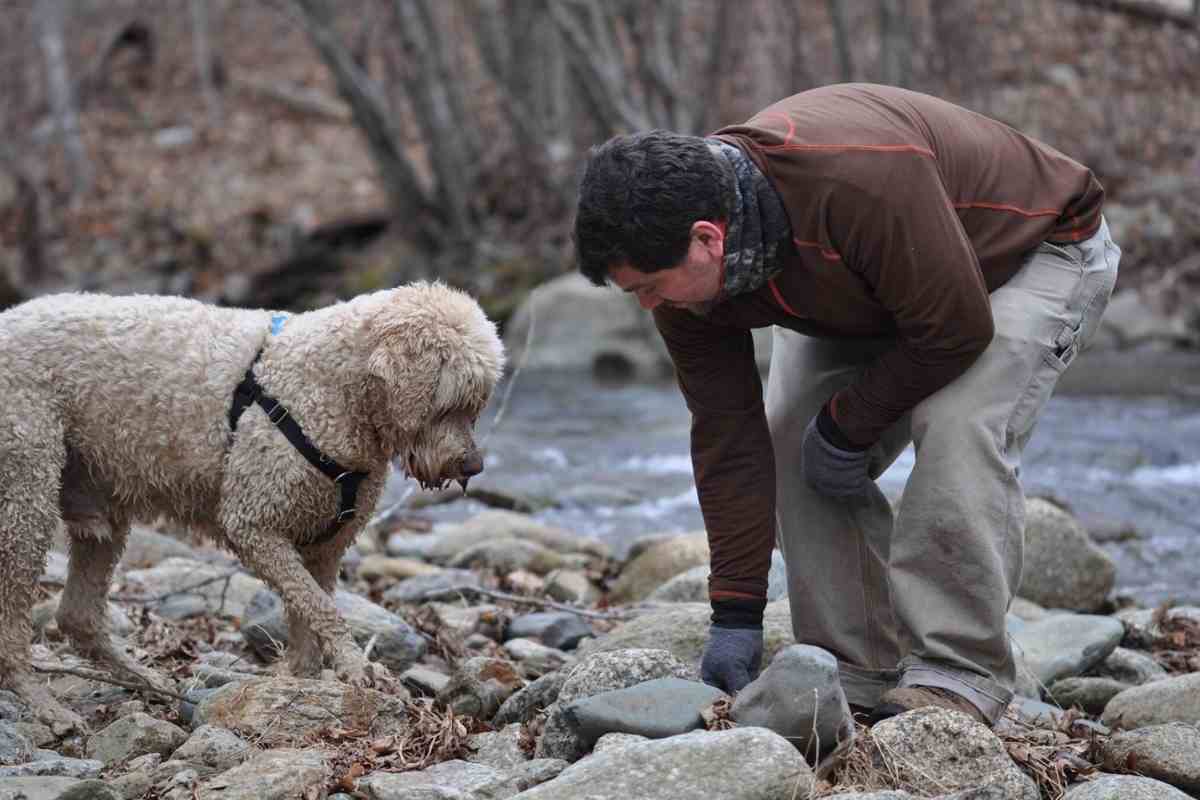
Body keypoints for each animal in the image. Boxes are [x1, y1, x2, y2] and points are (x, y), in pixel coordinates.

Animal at [0, 281, 501, 734]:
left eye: (475, 407)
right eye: (448, 404)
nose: (473, 466)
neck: (331, 385)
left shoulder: (325, 543)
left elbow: (308, 611)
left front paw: (301, 680)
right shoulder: (253, 525)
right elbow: (322, 608)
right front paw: (357, 668)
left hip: (99, 505)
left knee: (77, 616)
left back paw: (144, 679)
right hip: (27, 489)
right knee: (15, 617)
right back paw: (42, 703)